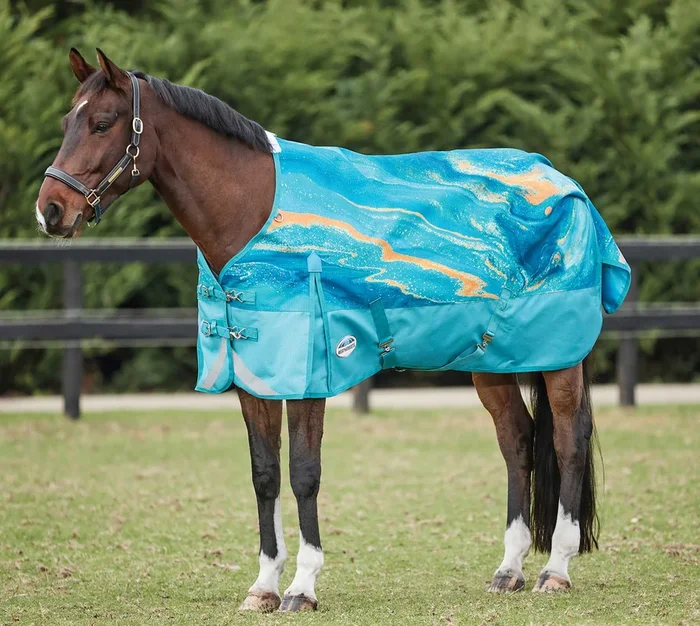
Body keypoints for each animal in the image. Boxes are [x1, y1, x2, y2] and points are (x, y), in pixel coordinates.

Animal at [36, 49, 630, 612]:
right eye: (68, 119)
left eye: (103, 123)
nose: (50, 211)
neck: (254, 215)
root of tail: (562, 182)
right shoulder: (254, 377)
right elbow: (265, 474)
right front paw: (263, 587)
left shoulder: (308, 376)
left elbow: (304, 472)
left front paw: (302, 586)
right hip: (490, 360)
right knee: (518, 442)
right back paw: (508, 569)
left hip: (557, 357)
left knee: (568, 440)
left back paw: (556, 570)